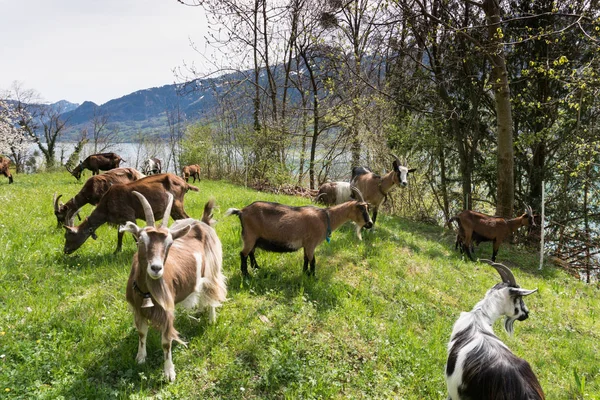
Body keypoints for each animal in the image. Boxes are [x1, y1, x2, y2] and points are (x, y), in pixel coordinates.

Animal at [63, 173, 199, 253]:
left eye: (69, 235)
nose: (65, 250)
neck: (106, 207)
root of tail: (185, 183)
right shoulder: (120, 219)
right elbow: (120, 234)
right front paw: (117, 250)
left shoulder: (129, 215)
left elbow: (135, 235)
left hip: (177, 205)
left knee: (190, 218)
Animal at [119, 191, 227, 382]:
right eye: (140, 240)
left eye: (169, 244)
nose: (156, 268)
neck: (146, 292)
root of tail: (202, 222)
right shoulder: (138, 309)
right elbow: (142, 333)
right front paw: (140, 358)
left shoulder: (167, 311)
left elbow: (166, 342)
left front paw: (169, 373)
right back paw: (200, 310)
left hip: (213, 268)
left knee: (212, 290)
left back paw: (211, 318)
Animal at [225, 188, 372, 276]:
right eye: (362, 209)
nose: (370, 224)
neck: (325, 218)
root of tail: (241, 211)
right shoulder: (311, 243)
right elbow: (313, 260)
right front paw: (313, 277)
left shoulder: (306, 244)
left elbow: (306, 259)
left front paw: (305, 273)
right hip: (250, 236)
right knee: (243, 253)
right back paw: (246, 275)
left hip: (255, 238)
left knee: (251, 252)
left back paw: (256, 268)